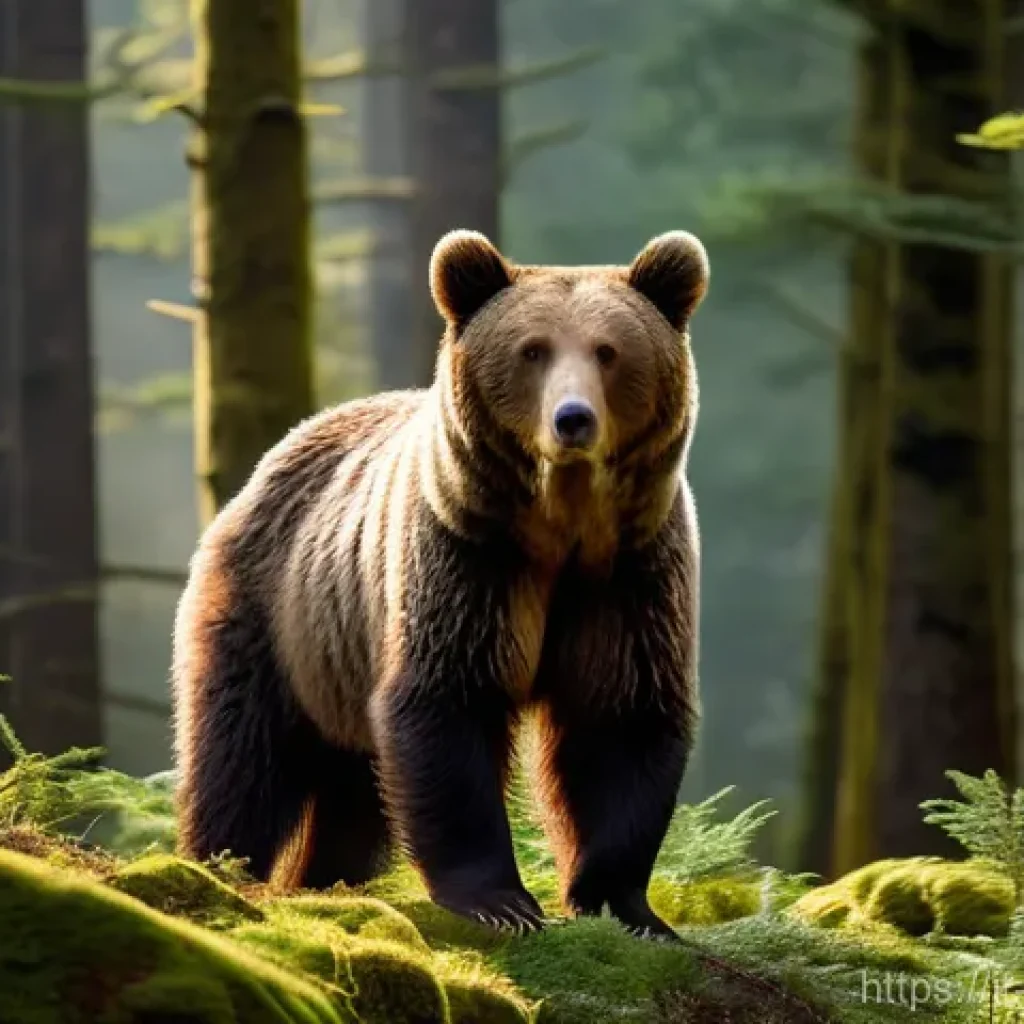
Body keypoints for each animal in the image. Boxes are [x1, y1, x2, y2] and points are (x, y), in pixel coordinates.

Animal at [171, 227, 709, 941]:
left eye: (608, 350)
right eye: (533, 349)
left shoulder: (629, 575)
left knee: (351, 791)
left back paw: (324, 877)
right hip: (275, 611)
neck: (561, 529)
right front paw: (501, 901)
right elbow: (448, 702)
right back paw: (223, 864)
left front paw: (625, 905)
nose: (572, 419)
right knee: (242, 755)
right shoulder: (468, 557)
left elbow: (620, 719)